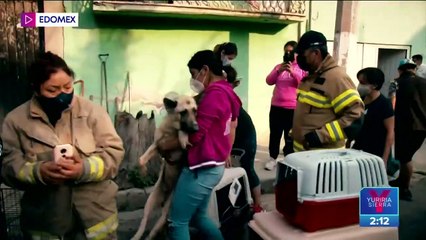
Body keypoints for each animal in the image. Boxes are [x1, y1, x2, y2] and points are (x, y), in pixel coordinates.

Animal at [131, 92, 198, 240]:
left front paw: (183, 137)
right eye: (183, 112)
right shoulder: (157, 145)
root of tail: (165, 196)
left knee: (157, 226)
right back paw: (137, 236)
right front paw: (143, 171)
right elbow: (141, 160)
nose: (196, 128)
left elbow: (182, 133)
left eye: (195, 111)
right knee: (144, 222)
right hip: (149, 203)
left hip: (168, 210)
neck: (171, 130)